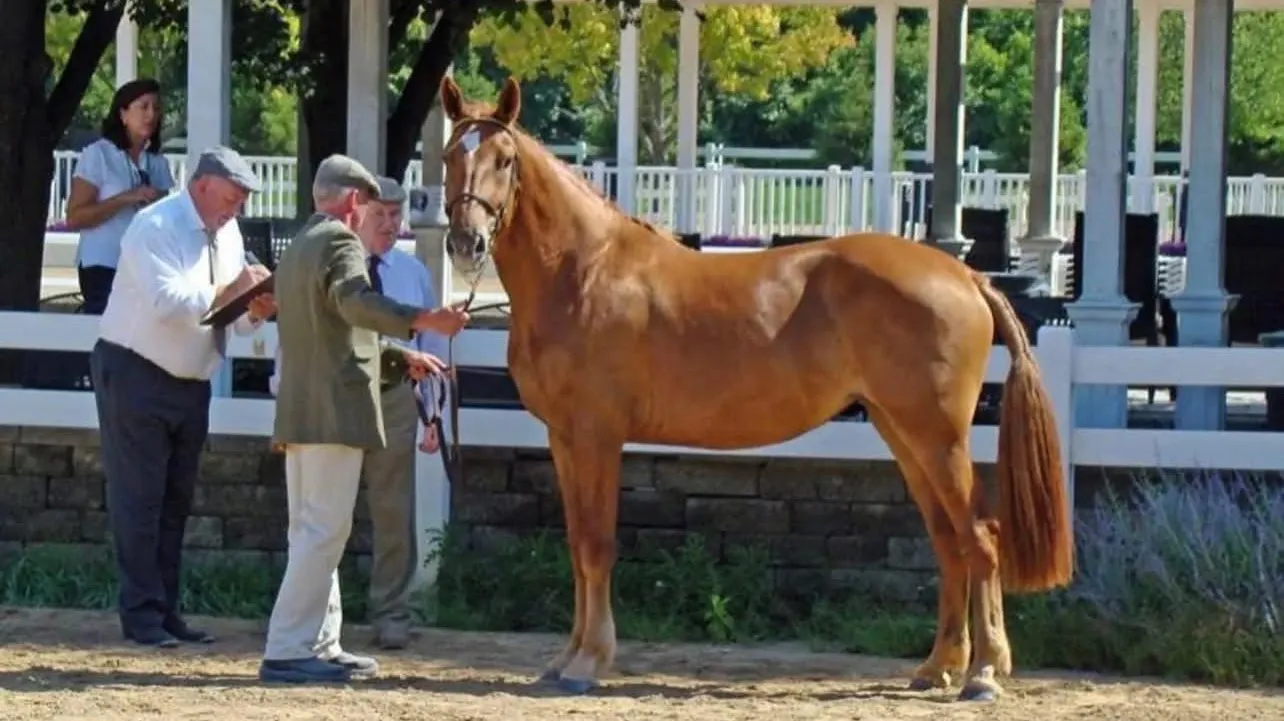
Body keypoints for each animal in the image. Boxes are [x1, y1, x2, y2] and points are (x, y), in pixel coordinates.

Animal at [436, 75, 1074, 703]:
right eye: (449, 155)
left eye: (505, 158)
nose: (466, 242)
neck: (584, 272)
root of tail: (964, 274)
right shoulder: (564, 439)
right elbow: (576, 545)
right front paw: (564, 658)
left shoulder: (598, 436)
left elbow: (596, 545)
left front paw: (589, 661)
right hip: (903, 433)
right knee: (948, 540)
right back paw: (939, 667)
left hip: (938, 436)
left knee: (981, 537)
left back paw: (984, 674)